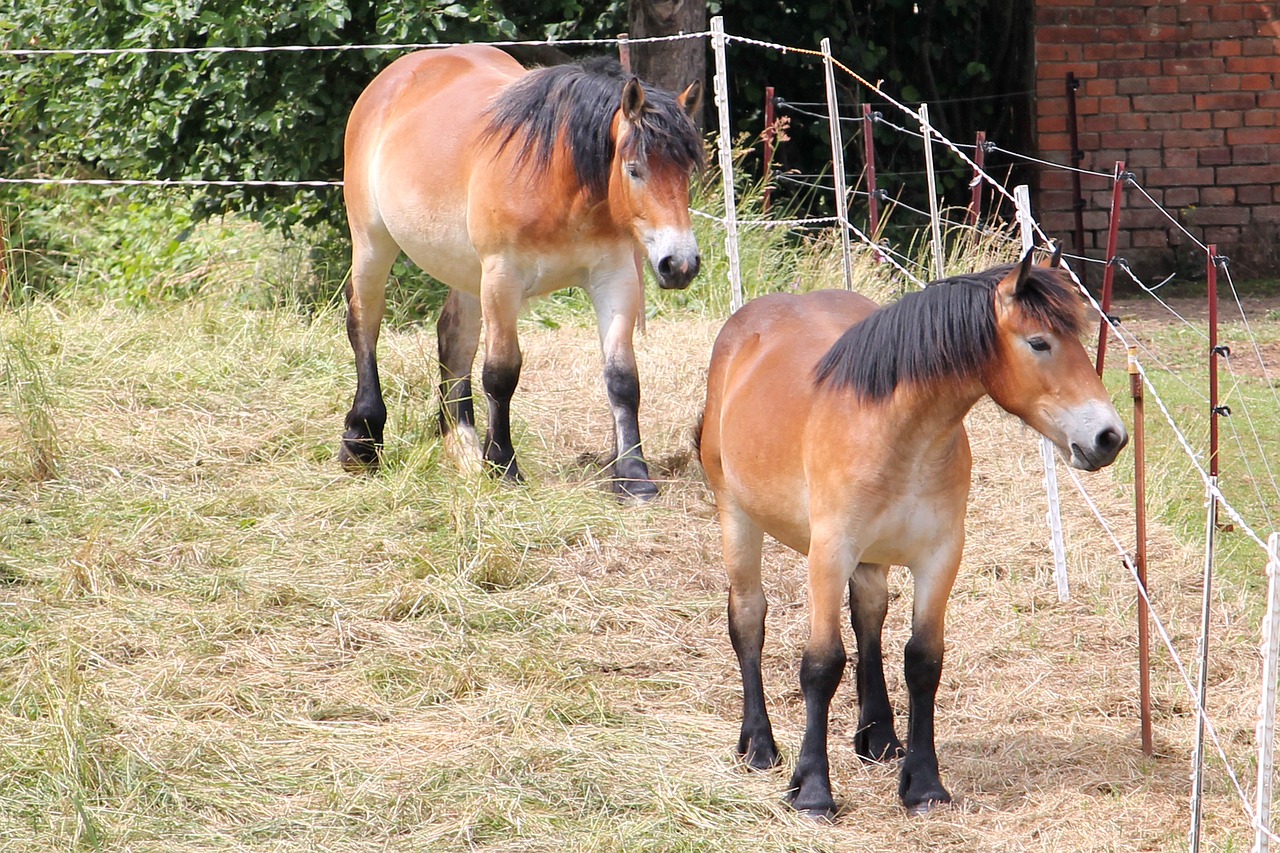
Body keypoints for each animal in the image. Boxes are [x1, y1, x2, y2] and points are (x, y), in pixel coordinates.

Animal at [340, 44, 701, 499]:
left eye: (687, 171)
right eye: (634, 169)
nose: (680, 264)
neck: (560, 182)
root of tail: (394, 78)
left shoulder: (615, 278)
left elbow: (622, 377)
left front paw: (634, 477)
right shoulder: (502, 278)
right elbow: (501, 372)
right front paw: (504, 465)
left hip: (464, 269)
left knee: (454, 338)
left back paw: (463, 447)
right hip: (373, 242)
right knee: (365, 323)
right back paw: (362, 442)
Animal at [701, 253, 1131, 819]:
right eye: (1039, 342)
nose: (1109, 437)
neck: (897, 433)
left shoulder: (939, 557)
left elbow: (923, 661)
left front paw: (924, 785)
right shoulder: (828, 556)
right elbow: (821, 664)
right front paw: (812, 789)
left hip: (871, 558)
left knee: (868, 617)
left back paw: (879, 737)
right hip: (737, 518)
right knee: (749, 618)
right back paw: (758, 745)